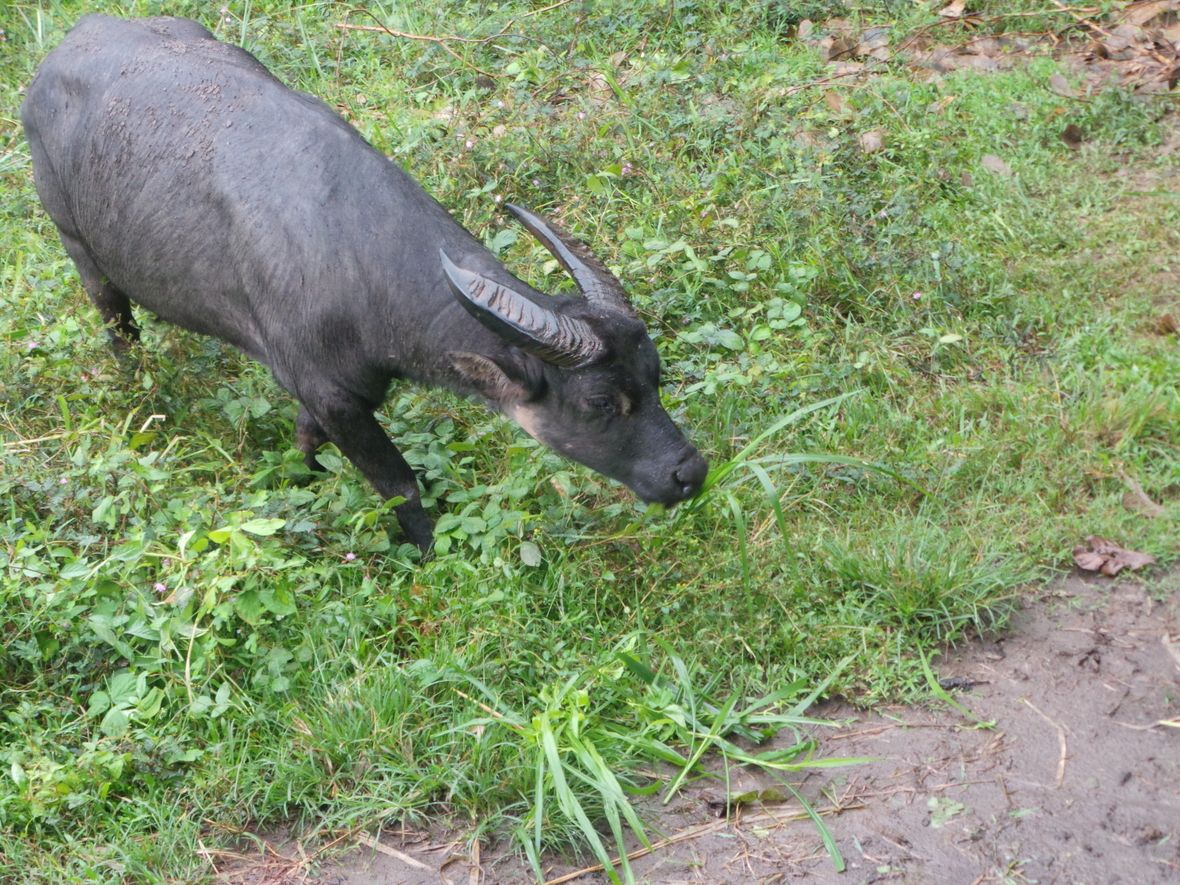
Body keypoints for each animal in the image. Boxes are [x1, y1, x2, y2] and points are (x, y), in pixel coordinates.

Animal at [23, 15, 703, 554]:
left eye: (655, 375)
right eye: (598, 403)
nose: (689, 472)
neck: (356, 264)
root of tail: (68, 43)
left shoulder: (329, 394)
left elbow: (304, 439)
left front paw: (305, 484)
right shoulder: (330, 392)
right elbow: (397, 483)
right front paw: (426, 550)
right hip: (77, 244)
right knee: (116, 321)